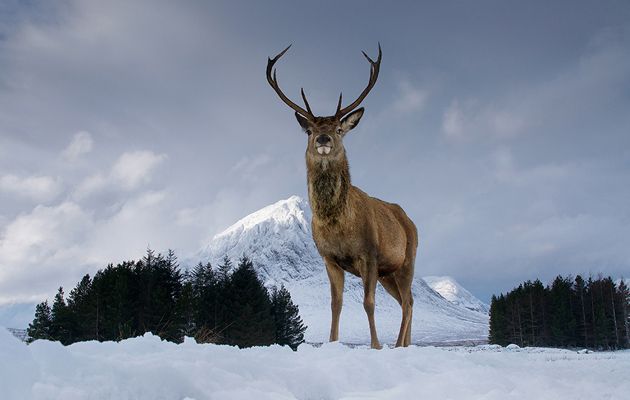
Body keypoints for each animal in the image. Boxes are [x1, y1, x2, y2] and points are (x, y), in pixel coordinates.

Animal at [266, 45, 420, 348]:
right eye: (310, 130)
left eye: (338, 129)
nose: (323, 139)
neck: (338, 225)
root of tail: (409, 220)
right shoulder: (329, 258)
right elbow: (335, 304)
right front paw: (333, 343)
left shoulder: (369, 253)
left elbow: (368, 303)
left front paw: (376, 346)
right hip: (388, 273)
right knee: (406, 301)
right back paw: (406, 344)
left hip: (407, 258)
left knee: (408, 303)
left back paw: (398, 344)